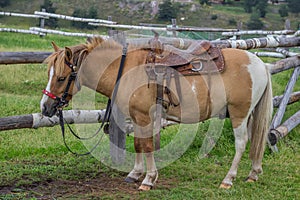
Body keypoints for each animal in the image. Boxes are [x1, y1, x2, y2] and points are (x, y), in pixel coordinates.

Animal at [40, 36, 274, 191]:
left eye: (61, 78)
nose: (45, 107)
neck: (126, 70)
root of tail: (260, 64)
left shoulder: (144, 116)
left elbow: (147, 145)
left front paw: (148, 180)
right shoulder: (138, 117)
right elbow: (138, 144)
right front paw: (135, 174)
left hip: (239, 114)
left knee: (242, 143)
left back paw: (228, 179)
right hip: (250, 114)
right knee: (256, 139)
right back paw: (253, 174)